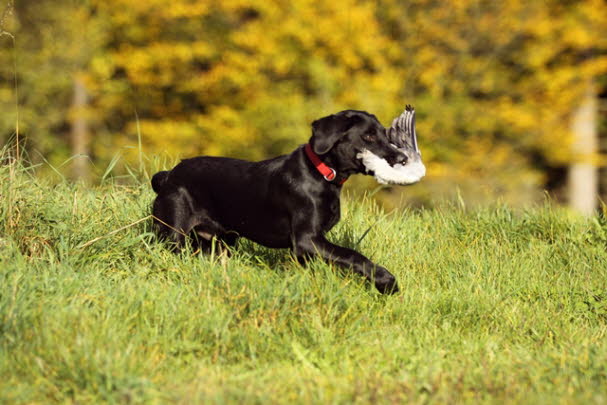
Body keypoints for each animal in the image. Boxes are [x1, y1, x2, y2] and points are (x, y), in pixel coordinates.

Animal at [151, 109, 408, 294]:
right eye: (368, 136)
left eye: (385, 135)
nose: (403, 158)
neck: (321, 174)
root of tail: (168, 176)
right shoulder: (306, 239)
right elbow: (352, 254)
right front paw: (386, 281)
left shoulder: (307, 249)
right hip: (172, 233)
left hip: (218, 243)